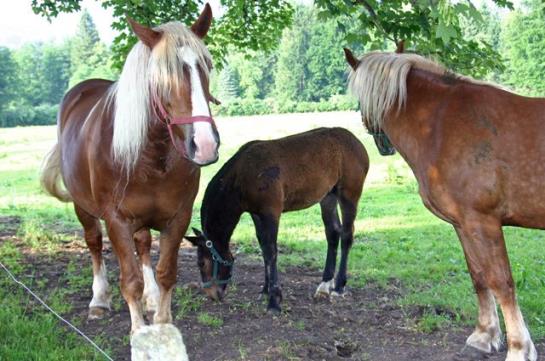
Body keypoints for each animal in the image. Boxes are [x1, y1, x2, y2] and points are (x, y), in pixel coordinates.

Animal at [40, 5, 219, 332]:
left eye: (206, 67)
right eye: (160, 76)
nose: (204, 144)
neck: (151, 156)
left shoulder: (178, 218)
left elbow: (165, 273)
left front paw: (161, 321)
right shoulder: (117, 221)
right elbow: (130, 281)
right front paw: (139, 331)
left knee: (144, 244)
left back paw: (150, 298)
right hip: (83, 208)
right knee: (94, 244)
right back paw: (99, 300)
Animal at [187, 128, 370, 310]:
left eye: (201, 263)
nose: (212, 294)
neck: (242, 176)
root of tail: (357, 142)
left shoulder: (271, 213)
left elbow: (271, 250)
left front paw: (274, 299)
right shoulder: (256, 214)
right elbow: (264, 249)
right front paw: (266, 290)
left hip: (349, 194)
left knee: (346, 235)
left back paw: (339, 285)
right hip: (328, 197)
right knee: (332, 233)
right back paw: (325, 284)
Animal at [344, 48, 540, 360]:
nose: (381, 144)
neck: (440, 124)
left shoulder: (483, 222)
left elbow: (502, 282)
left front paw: (519, 348)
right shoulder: (464, 224)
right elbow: (479, 276)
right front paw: (484, 335)